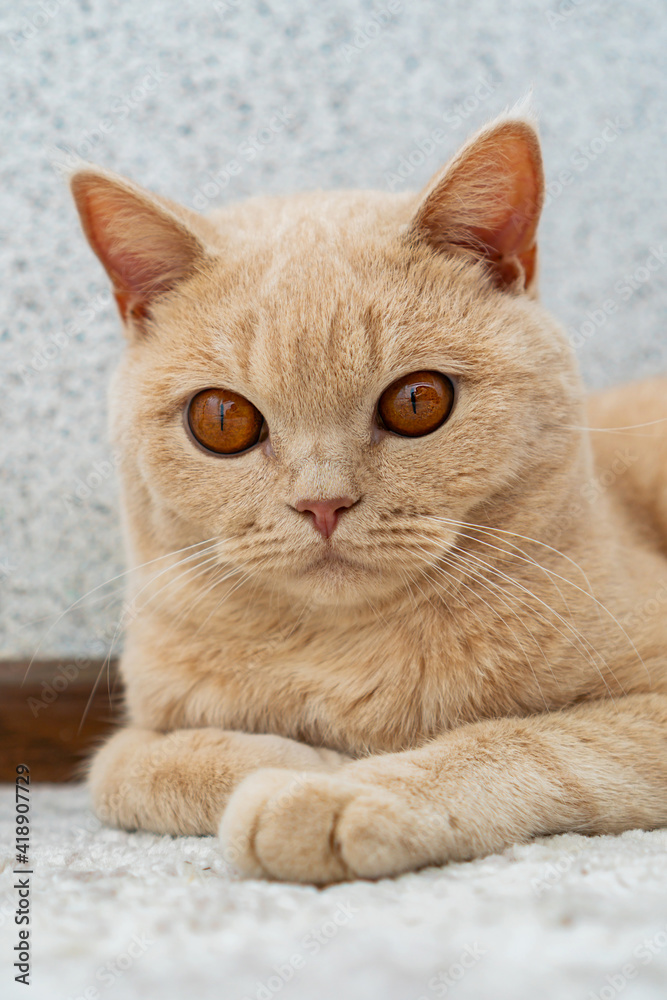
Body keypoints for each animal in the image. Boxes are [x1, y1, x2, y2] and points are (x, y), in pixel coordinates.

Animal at [72, 111, 667, 884]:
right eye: (222, 420)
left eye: (417, 402)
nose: (322, 504)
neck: (343, 655)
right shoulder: (141, 731)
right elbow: (137, 769)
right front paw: (311, 764)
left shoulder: (644, 710)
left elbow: (522, 739)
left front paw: (338, 790)